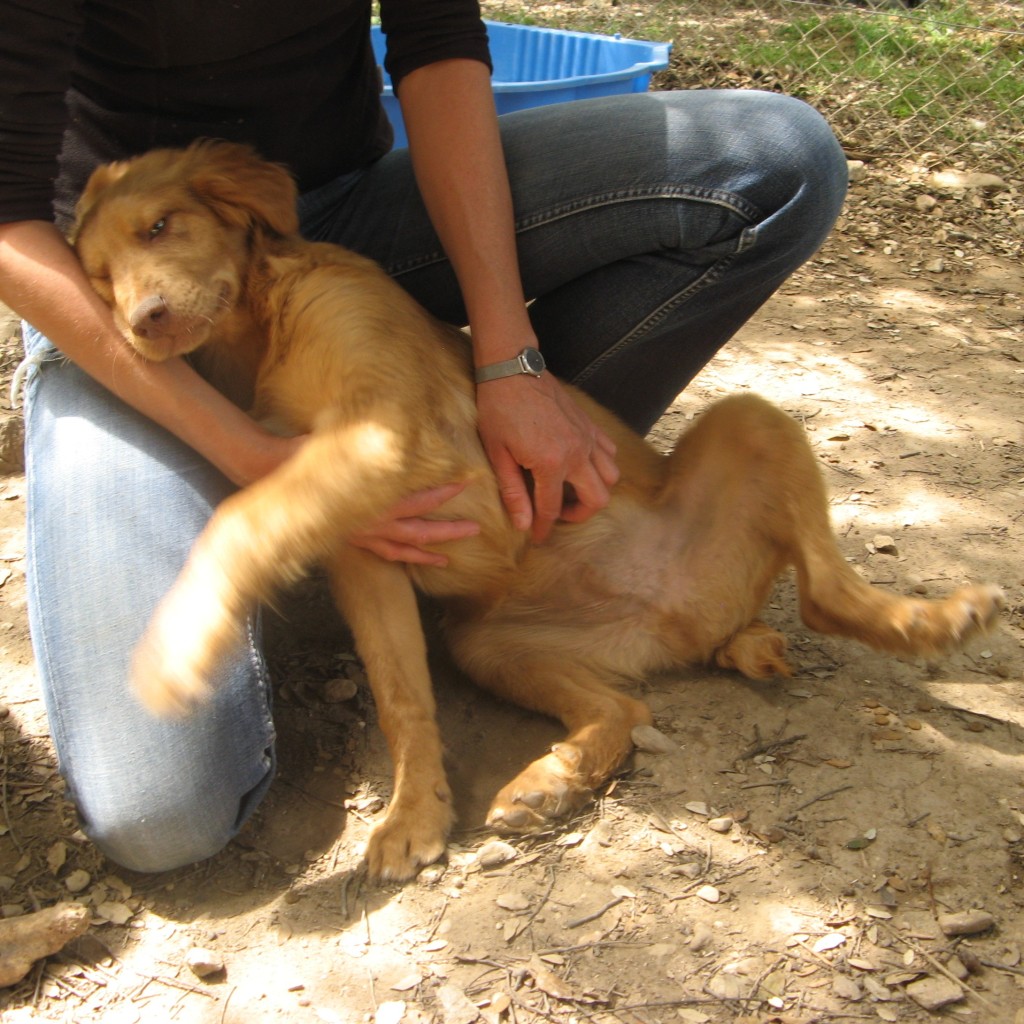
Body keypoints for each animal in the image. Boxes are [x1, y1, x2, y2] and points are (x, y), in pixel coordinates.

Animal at [74, 142, 1007, 880]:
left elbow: (240, 517)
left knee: (825, 594)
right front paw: (415, 816)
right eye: (97, 280)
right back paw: (547, 782)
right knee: (626, 710)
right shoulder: (366, 550)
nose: (143, 325)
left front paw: (177, 644)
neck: (263, 333)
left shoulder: (388, 437)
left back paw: (934, 620)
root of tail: (700, 627)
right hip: (493, 646)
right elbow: (400, 694)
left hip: (751, 417)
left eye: (161, 226)